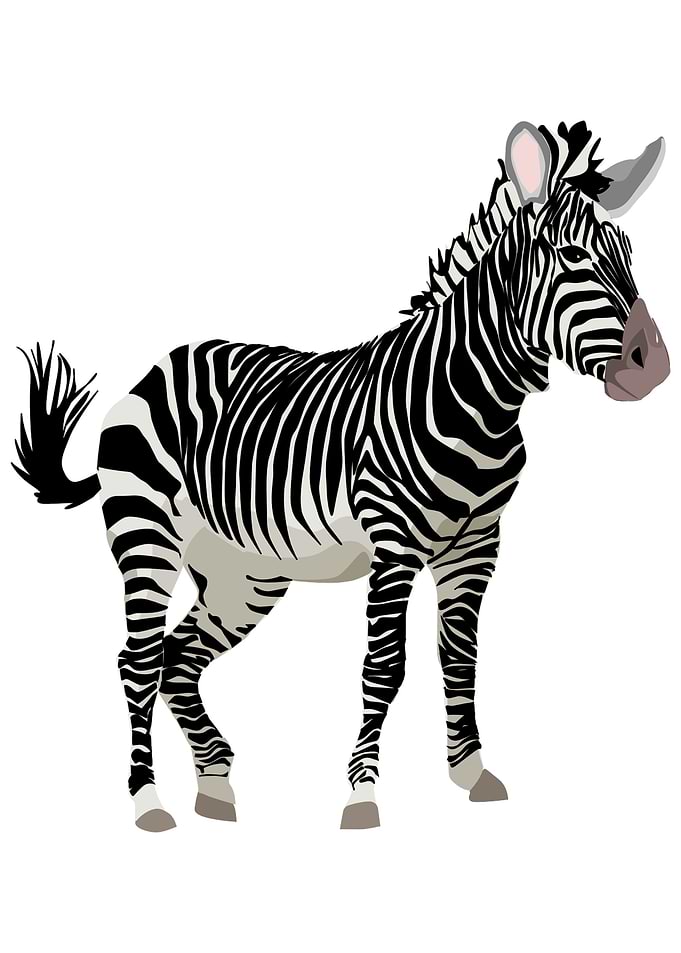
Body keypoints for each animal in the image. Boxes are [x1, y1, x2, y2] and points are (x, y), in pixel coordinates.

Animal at [14, 121, 669, 831]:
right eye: (571, 257)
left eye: (631, 254)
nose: (655, 366)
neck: (476, 403)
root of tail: (155, 368)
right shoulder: (394, 543)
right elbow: (384, 667)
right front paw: (362, 796)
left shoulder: (476, 547)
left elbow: (459, 656)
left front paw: (470, 771)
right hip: (146, 536)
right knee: (136, 661)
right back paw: (148, 802)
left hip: (244, 574)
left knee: (178, 657)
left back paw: (215, 783)